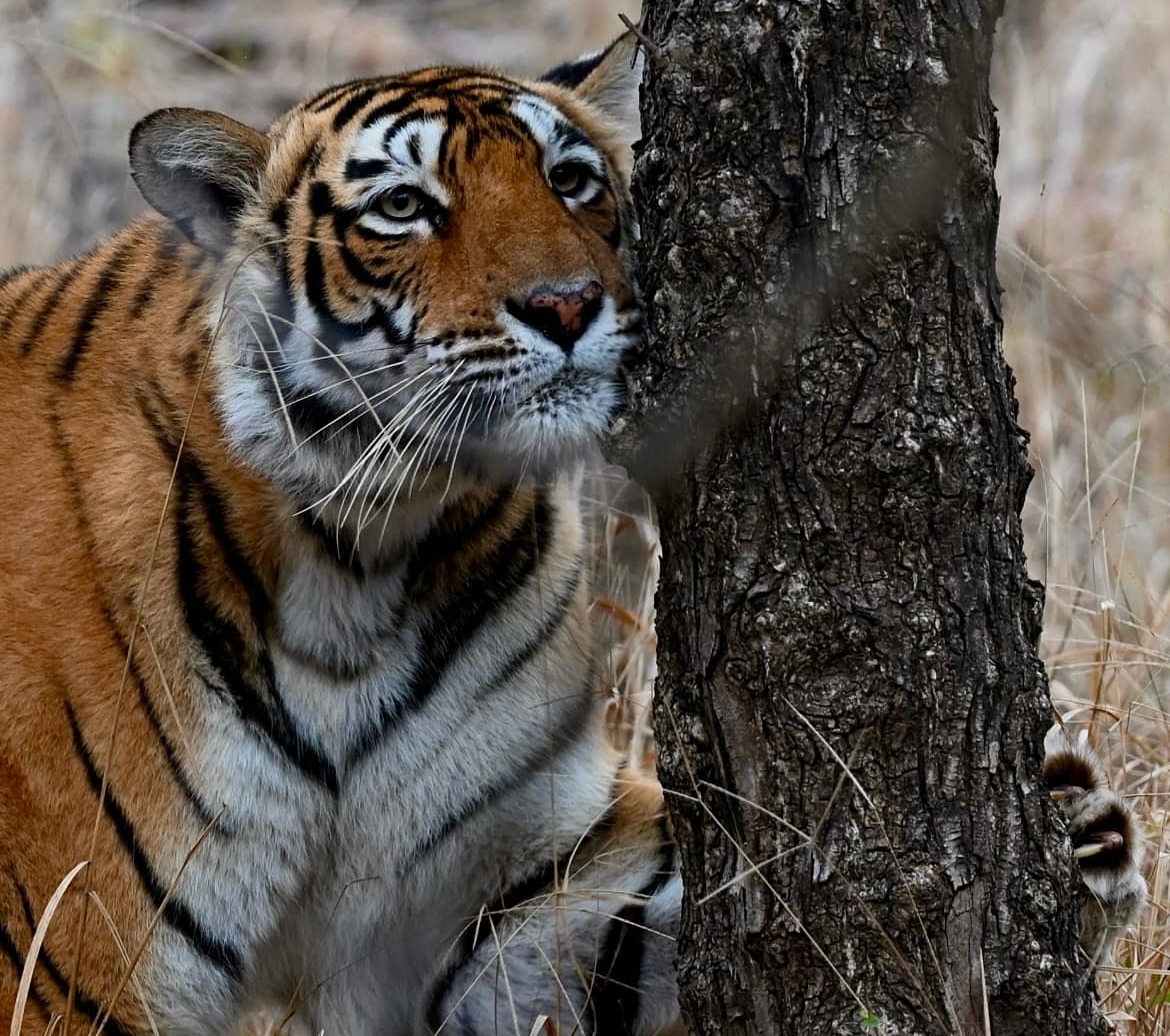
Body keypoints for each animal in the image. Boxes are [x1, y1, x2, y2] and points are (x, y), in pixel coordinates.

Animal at [0, 24, 1148, 1036]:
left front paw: (1077, 825)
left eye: (573, 179)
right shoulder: (74, 956)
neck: (369, 552)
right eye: (404, 207)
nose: (565, 305)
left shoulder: (493, 897)